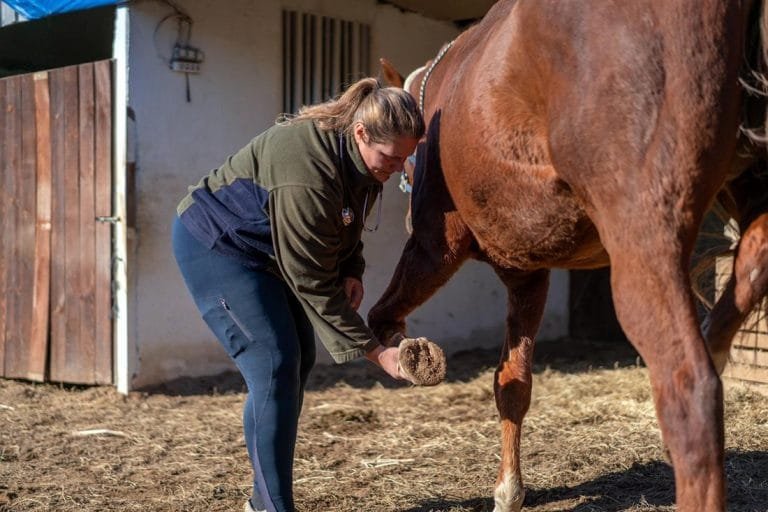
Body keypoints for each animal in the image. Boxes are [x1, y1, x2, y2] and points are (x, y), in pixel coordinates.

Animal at [369, 1, 768, 511]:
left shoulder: (433, 249)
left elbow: (381, 316)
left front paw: (411, 357)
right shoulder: (528, 275)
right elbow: (513, 383)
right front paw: (509, 491)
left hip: (645, 247)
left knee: (691, 392)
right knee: (741, 287)